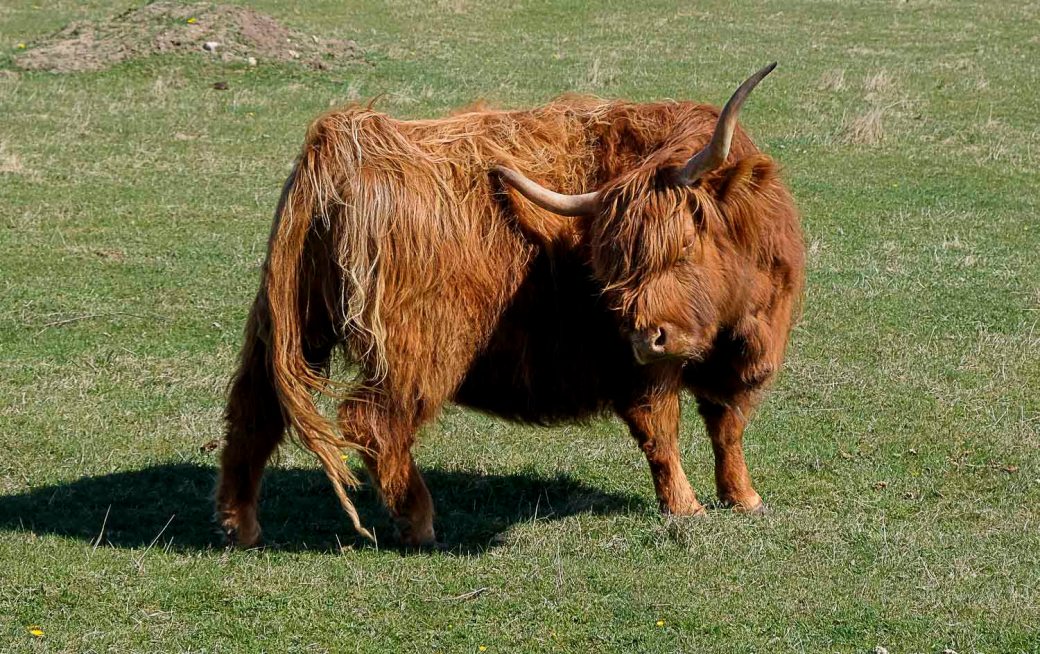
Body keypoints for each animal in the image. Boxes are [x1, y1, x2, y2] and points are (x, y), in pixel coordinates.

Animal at [216, 63, 805, 548]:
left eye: (684, 247)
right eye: (611, 265)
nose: (644, 336)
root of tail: (345, 141)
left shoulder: (740, 359)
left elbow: (727, 427)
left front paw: (744, 498)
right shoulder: (640, 369)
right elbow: (662, 429)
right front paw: (687, 508)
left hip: (294, 324)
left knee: (253, 408)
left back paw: (239, 525)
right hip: (418, 347)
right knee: (372, 422)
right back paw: (419, 522)